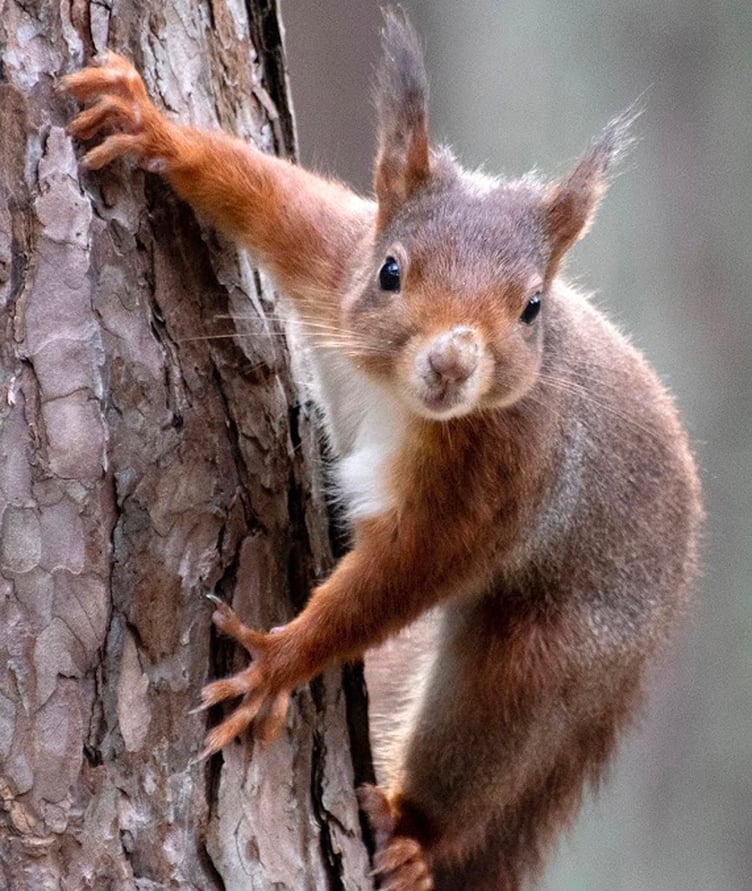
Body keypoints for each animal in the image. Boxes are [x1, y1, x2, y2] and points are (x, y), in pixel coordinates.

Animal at [61, 9, 702, 891]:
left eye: (532, 306)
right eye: (392, 270)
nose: (453, 361)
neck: (397, 398)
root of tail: (662, 618)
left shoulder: (502, 479)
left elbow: (397, 578)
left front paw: (277, 661)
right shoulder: (332, 255)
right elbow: (266, 192)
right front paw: (149, 124)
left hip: (555, 647)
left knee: (494, 730)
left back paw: (413, 834)